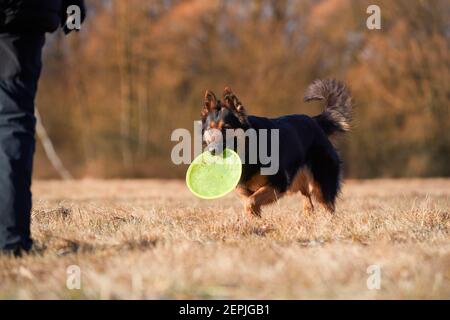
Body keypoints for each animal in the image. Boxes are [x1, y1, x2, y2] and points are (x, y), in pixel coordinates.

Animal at [202, 79, 354, 216]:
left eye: (226, 128)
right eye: (210, 129)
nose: (211, 151)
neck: (249, 148)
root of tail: (315, 121)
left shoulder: (278, 183)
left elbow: (251, 202)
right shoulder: (244, 191)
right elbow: (250, 204)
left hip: (321, 186)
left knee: (328, 207)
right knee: (308, 203)